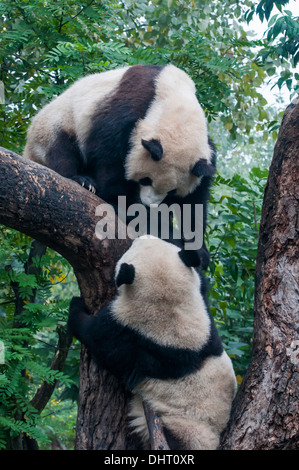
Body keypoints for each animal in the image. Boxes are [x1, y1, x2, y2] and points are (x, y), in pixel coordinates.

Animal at [23, 63, 216, 268]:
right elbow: (110, 157)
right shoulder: (126, 110)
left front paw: (198, 249)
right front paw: (122, 205)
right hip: (55, 125)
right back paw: (82, 180)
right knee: (62, 150)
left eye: (172, 192)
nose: (149, 204)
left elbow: (195, 201)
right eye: (146, 180)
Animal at [67, 237, 237, 450]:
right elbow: (201, 276)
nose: (140, 237)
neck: (172, 308)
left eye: (133, 248)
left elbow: (98, 339)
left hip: (186, 427)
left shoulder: (128, 325)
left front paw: (75, 307)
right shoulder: (205, 320)